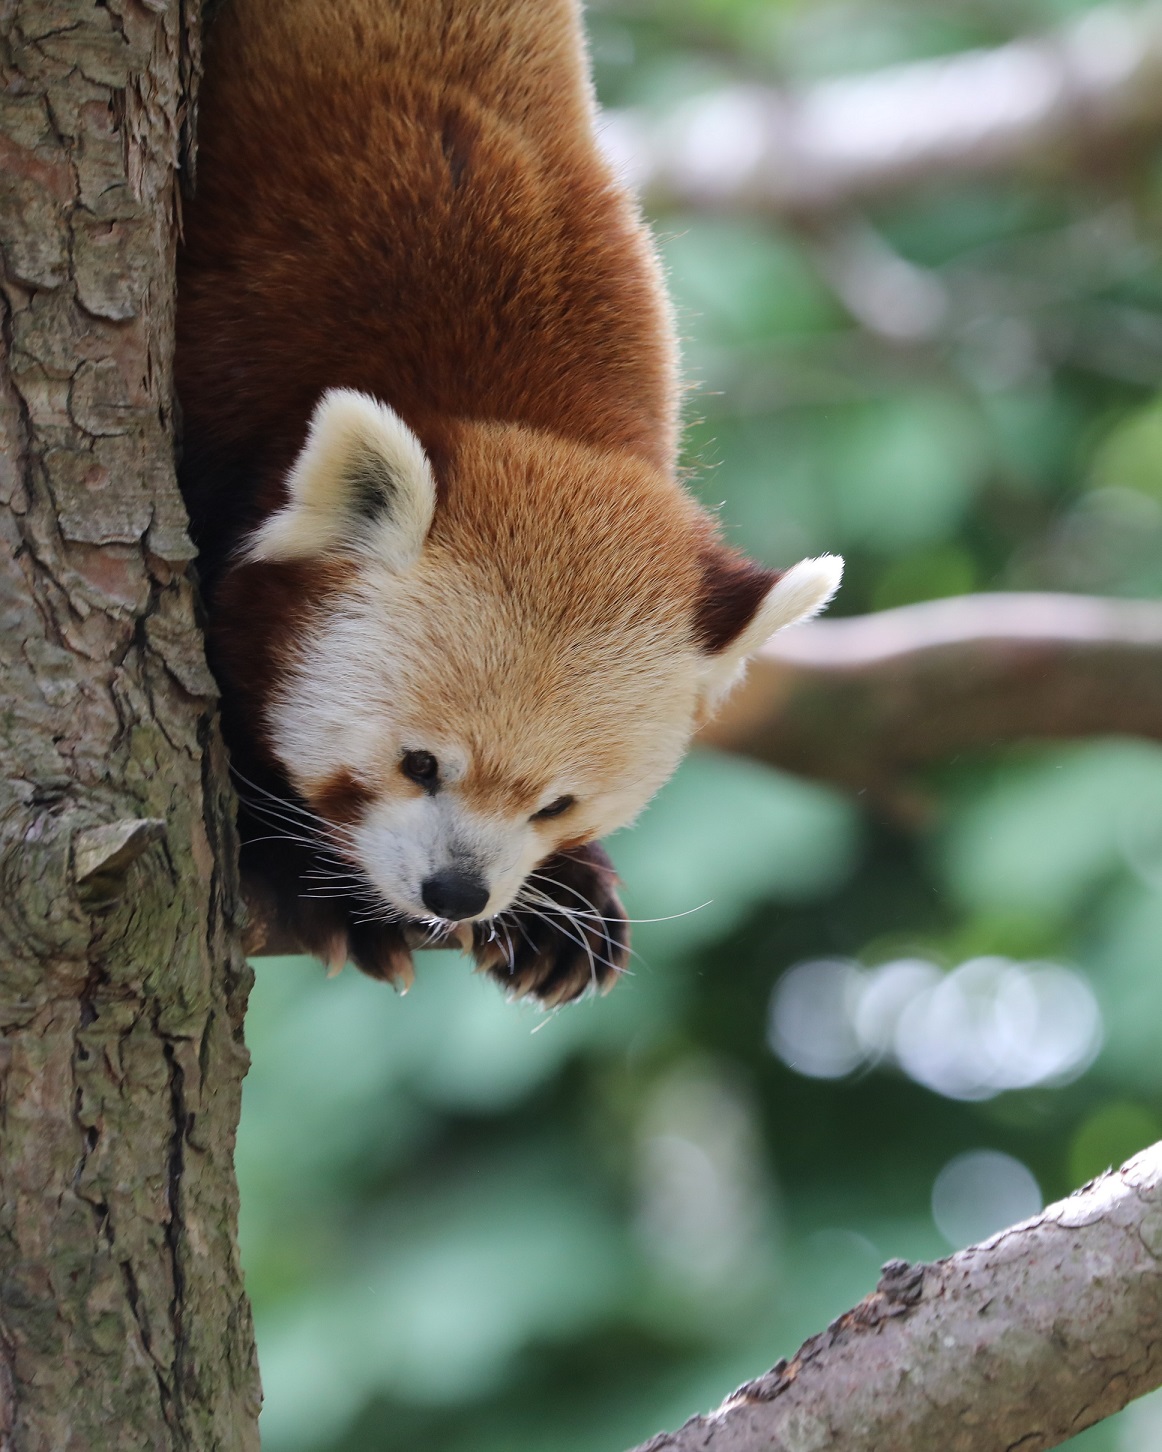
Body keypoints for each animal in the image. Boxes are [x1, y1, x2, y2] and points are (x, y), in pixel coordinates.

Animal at [177, 0, 842, 1010]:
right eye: (418, 765)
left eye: (555, 803)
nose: (456, 892)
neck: (511, 401)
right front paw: (308, 876)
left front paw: (562, 903)